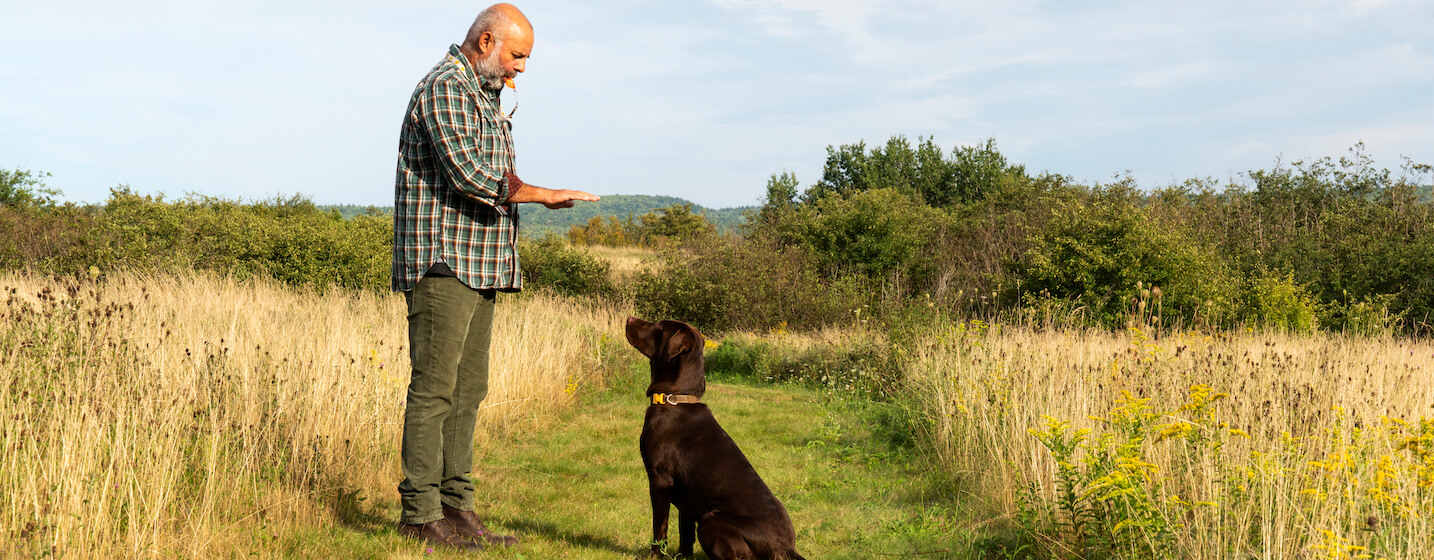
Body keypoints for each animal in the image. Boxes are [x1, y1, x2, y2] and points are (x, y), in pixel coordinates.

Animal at [628, 317, 808, 560]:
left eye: (660, 326)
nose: (629, 318)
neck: (677, 399)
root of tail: (785, 547)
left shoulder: (660, 480)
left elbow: (660, 526)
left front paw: (655, 555)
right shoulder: (687, 499)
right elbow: (685, 533)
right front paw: (683, 556)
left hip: (711, 519)